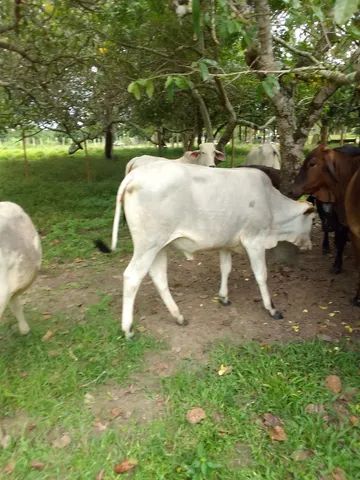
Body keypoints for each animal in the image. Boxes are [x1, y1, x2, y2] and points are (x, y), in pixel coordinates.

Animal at [106, 163, 312, 340]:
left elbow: (225, 268)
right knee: (132, 277)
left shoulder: (226, 243)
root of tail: (135, 174)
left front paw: (224, 297)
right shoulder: (254, 240)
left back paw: (178, 316)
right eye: (312, 220)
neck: (271, 204)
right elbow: (261, 275)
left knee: (159, 277)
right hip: (148, 245)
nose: (309, 245)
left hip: (159, 246)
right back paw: (128, 329)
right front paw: (271, 308)